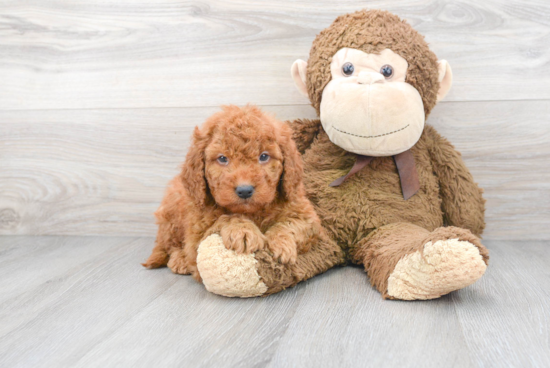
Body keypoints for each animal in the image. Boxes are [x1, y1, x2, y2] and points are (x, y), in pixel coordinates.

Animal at [142, 104, 324, 282]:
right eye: (222, 158)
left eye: (264, 156)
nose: (244, 190)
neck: (253, 212)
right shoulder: (197, 236)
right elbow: (226, 218)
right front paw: (242, 230)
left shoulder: (307, 216)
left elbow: (291, 224)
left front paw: (281, 243)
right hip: (171, 216)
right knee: (170, 246)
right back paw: (180, 260)